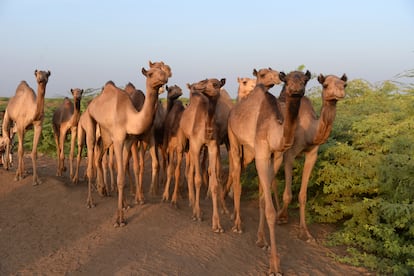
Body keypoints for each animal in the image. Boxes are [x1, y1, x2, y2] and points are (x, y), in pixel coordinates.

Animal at [85, 64, 170, 226]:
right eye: (150, 74)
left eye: (162, 70)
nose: (164, 77)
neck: (129, 118)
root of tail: (92, 102)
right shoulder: (119, 140)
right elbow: (120, 177)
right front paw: (119, 219)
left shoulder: (128, 141)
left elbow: (123, 170)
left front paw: (125, 205)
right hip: (91, 120)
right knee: (91, 153)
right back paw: (90, 202)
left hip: (106, 135)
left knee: (99, 157)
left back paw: (104, 191)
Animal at [226, 68, 310, 274]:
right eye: (287, 80)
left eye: (305, 80)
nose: (296, 90)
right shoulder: (262, 154)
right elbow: (271, 210)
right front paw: (275, 266)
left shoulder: (276, 157)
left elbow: (264, 200)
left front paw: (261, 240)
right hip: (233, 138)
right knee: (236, 175)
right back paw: (237, 224)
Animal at [274, 73, 350, 242]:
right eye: (326, 85)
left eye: (344, 84)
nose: (340, 92)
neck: (310, 132)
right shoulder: (289, 155)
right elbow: (288, 195)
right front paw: (281, 217)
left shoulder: (312, 155)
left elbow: (303, 195)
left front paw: (305, 232)